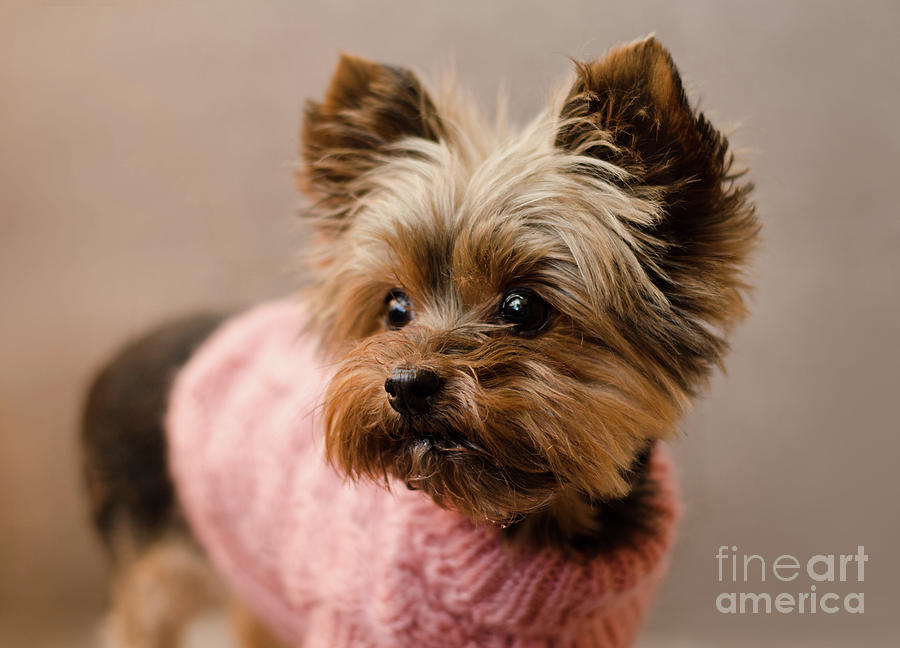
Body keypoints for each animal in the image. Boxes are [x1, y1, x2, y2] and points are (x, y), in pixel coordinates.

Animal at [82, 36, 760, 648]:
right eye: (395, 307)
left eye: (523, 307)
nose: (406, 386)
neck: (521, 530)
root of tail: (125, 353)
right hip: (158, 574)